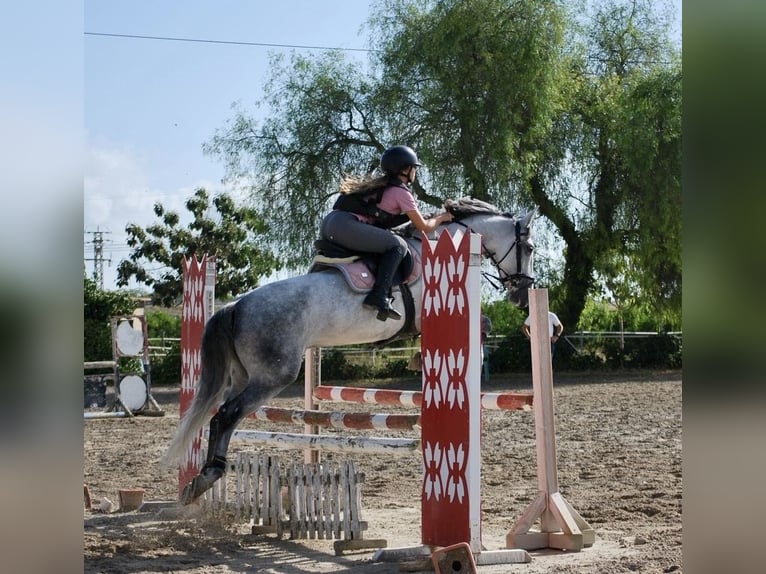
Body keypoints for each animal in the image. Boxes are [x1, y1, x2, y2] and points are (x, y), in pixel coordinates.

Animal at [164, 197, 536, 504]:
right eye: (531, 248)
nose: (521, 295)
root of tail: (235, 306)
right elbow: (483, 321)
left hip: (244, 375)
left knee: (221, 415)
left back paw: (197, 482)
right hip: (273, 376)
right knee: (227, 414)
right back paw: (207, 476)